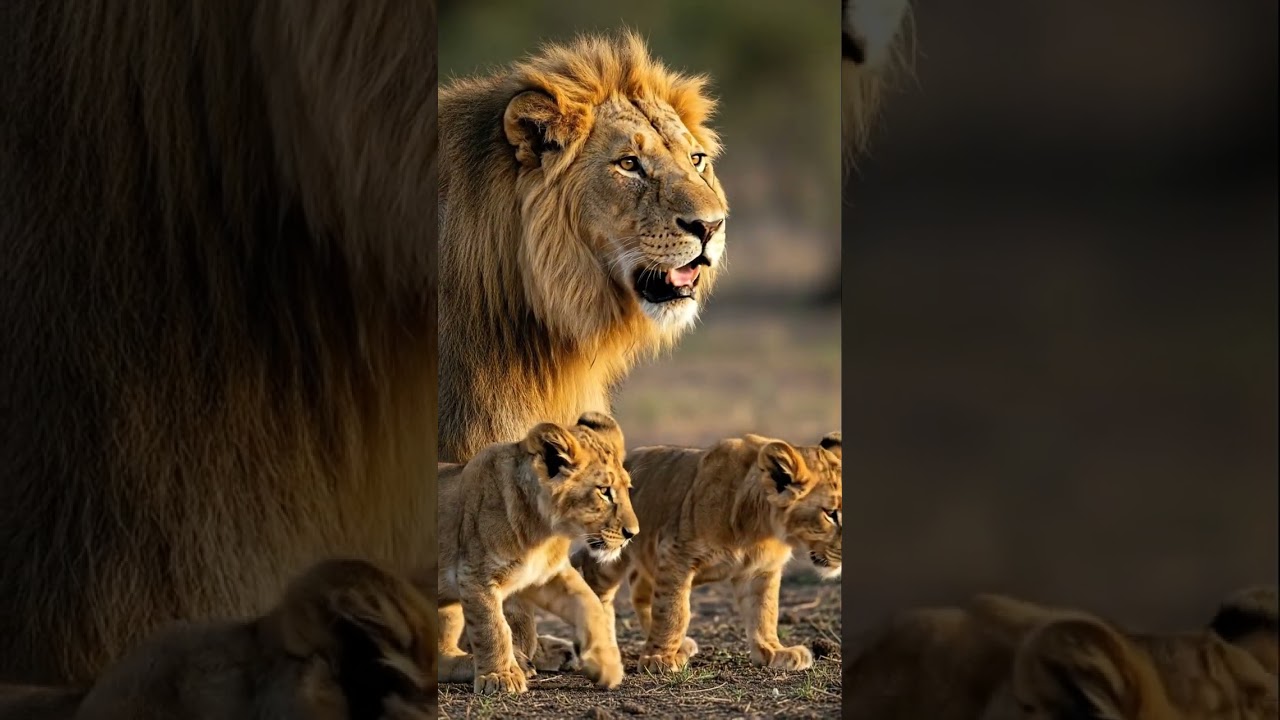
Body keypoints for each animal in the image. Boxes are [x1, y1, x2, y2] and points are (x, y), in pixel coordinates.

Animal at [436, 412, 637, 695]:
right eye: (604, 491)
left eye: (627, 489)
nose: (633, 533)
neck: (544, 533)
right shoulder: (475, 575)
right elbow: (493, 627)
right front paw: (501, 677)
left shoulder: (547, 575)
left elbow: (589, 603)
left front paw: (606, 665)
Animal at [575, 431, 843, 674]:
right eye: (830, 514)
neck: (762, 530)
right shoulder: (676, 555)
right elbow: (673, 610)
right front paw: (659, 659)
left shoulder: (761, 571)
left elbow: (764, 612)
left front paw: (773, 651)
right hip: (611, 549)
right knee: (597, 588)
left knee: (641, 592)